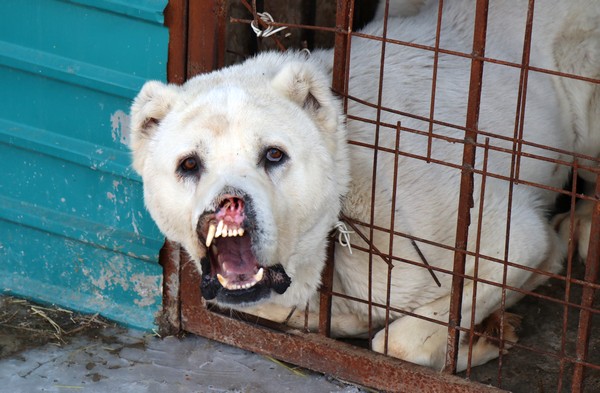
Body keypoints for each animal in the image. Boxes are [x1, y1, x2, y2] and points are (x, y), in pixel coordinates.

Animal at [130, 0, 600, 370]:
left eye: (274, 155)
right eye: (190, 164)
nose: (228, 205)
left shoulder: (511, 239)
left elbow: (403, 341)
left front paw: (484, 335)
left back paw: (583, 223)